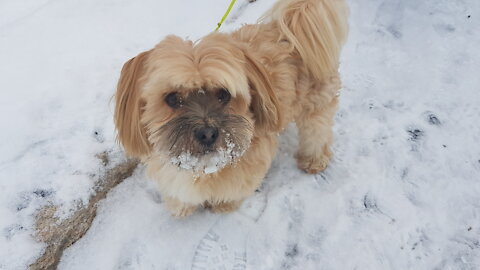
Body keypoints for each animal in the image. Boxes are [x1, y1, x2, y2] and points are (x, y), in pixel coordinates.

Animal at [115, 0, 348, 216]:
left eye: (224, 94)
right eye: (172, 98)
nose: (207, 134)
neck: (204, 168)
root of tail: (287, 28)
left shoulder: (248, 165)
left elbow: (233, 189)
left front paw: (223, 205)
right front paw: (179, 205)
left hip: (316, 105)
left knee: (317, 133)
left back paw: (313, 159)